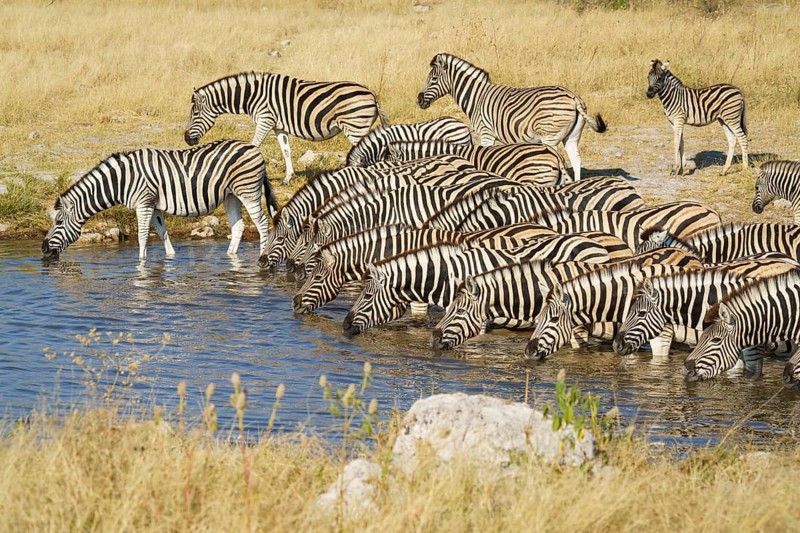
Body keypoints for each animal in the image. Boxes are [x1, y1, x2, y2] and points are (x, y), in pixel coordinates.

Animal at [42, 140, 278, 263]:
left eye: (59, 222)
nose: (43, 249)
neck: (122, 180)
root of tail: (254, 148)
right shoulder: (153, 205)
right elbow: (163, 232)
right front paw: (170, 256)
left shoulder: (144, 203)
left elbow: (143, 237)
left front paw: (141, 264)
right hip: (231, 196)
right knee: (238, 226)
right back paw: (230, 255)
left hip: (248, 191)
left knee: (262, 224)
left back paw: (261, 256)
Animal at [185, 72, 388, 185]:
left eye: (195, 114)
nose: (187, 139)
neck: (252, 95)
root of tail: (371, 93)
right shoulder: (277, 126)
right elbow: (286, 150)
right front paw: (287, 178)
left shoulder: (265, 119)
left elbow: (254, 145)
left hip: (356, 126)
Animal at [417, 53, 606, 181]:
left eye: (434, 79)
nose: (419, 100)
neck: (476, 97)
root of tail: (573, 97)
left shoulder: (486, 132)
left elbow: (484, 155)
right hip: (572, 136)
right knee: (576, 161)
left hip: (550, 136)